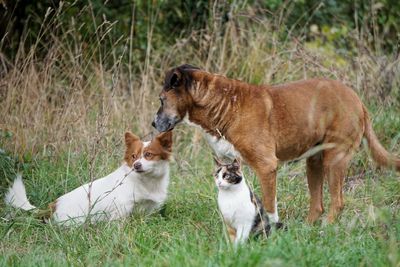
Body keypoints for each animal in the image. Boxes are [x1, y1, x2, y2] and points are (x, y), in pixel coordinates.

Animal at [4, 132, 173, 226]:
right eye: (133, 156)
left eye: (148, 155)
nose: (136, 165)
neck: (146, 181)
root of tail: (51, 207)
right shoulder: (121, 207)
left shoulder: (148, 209)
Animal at [152, 64, 398, 224]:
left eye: (162, 100)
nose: (153, 123)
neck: (223, 104)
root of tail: (358, 101)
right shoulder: (229, 164)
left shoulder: (266, 167)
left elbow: (270, 207)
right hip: (314, 162)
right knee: (317, 204)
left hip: (334, 160)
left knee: (337, 202)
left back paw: (327, 229)